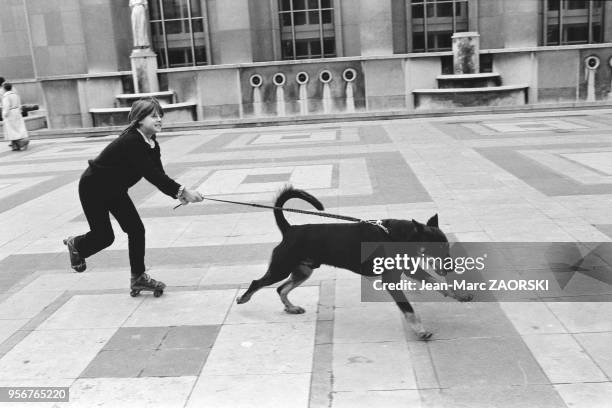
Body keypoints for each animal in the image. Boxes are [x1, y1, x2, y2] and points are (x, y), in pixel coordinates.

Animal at [237, 186, 470, 340]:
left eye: (447, 248)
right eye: (435, 250)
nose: (450, 267)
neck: (400, 237)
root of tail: (289, 229)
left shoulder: (411, 270)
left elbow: (437, 283)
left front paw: (460, 295)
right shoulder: (390, 279)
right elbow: (408, 308)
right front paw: (420, 330)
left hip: (303, 271)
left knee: (281, 289)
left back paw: (291, 307)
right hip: (281, 267)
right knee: (258, 282)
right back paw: (243, 298)